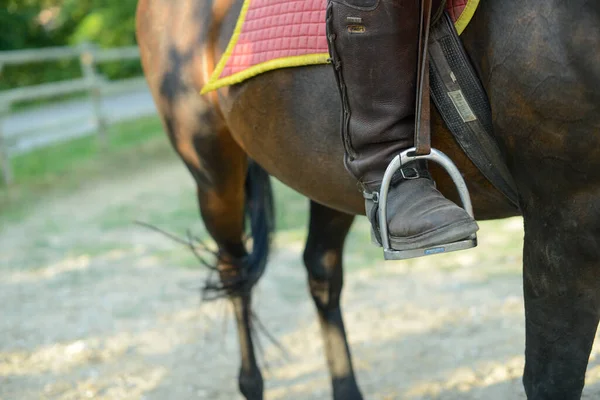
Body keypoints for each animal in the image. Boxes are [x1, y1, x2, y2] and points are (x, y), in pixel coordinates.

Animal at [135, 0, 600, 398]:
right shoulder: (565, 215)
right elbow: (550, 378)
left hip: (323, 175)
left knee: (320, 270)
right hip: (213, 170)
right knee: (233, 273)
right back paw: (251, 384)